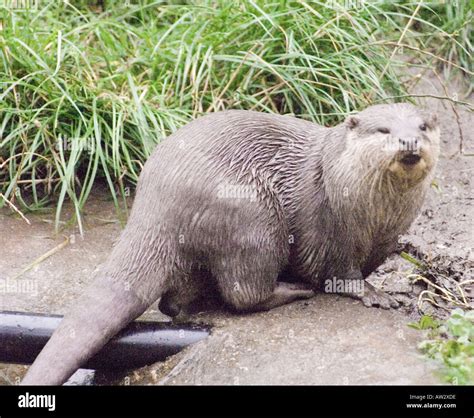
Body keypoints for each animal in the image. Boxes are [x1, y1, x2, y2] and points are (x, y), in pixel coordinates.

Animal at [21, 103, 436, 384]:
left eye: (423, 125)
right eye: (383, 129)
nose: (409, 140)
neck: (377, 216)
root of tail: (154, 202)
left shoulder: (387, 237)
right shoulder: (331, 229)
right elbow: (341, 272)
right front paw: (373, 293)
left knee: (174, 301)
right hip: (256, 218)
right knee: (244, 292)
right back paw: (291, 289)